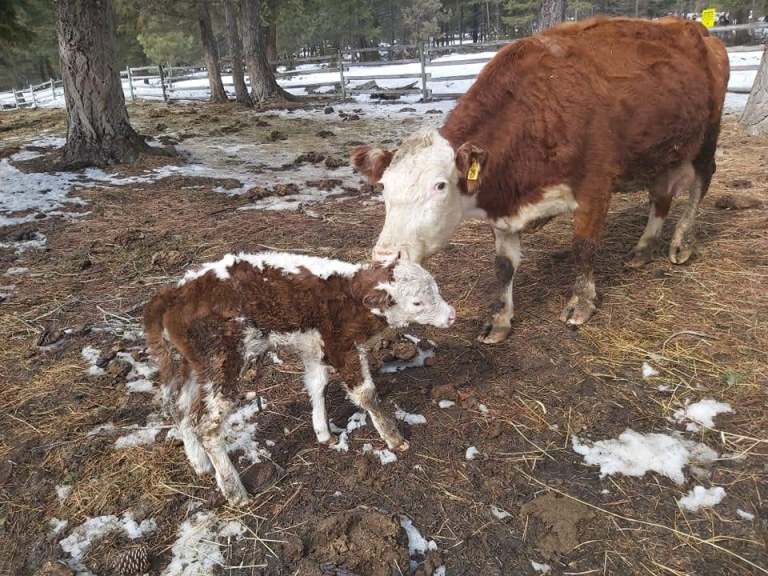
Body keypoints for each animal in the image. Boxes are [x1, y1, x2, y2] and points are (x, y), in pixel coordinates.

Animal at [144, 251, 455, 504]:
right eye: (416, 302)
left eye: (436, 287)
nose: (451, 315)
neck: (349, 298)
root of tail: (174, 292)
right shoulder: (341, 347)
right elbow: (366, 394)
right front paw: (394, 438)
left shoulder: (313, 348)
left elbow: (317, 385)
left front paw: (324, 433)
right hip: (221, 364)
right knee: (207, 425)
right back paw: (234, 491)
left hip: (190, 366)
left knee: (180, 409)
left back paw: (200, 464)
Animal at [351, 17, 730, 343]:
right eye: (383, 187)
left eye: (440, 185)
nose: (384, 256)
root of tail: (695, 28)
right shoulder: (504, 208)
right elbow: (504, 267)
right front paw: (500, 320)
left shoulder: (595, 188)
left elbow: (583, 248)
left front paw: (582, 302)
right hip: (661, 149)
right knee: (662, 194)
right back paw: (643, 248)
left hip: (707, 137)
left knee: (700, 185)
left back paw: (681, 243)